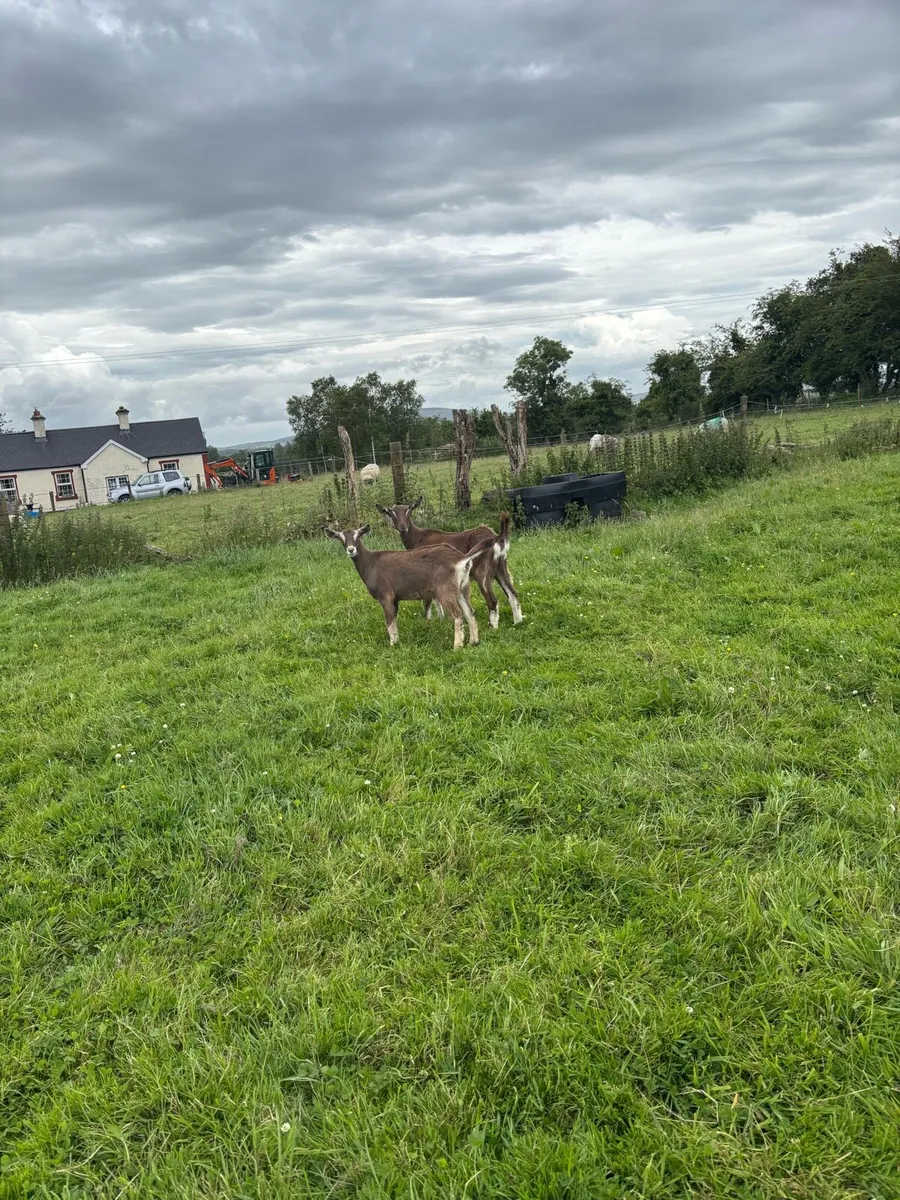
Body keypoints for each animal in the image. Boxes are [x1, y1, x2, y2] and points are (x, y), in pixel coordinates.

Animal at [324, 522, 495, 649]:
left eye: (358, 535)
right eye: (340, 537)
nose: (351, 550)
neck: (370, 563)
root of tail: (461, 558)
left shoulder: (385, 596)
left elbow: (389, 621)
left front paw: (392, 645)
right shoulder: (395, 599)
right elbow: (394, 620)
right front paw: (396, 641)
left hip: (445, 590)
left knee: (458, 615)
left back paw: (457, 646)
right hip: (462, 588)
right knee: (470, 612)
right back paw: (474, 642)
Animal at [375, 500, 523, 629]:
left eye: (409, 511)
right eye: (391, 513)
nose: (403, 527)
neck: (417, 539)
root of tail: (498, 537)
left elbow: (430, 601)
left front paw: (431, 622)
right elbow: (437, 599)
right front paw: (442, 620)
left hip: (482, 571)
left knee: (492, 600)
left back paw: (493, 627)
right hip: (501, 566)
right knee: (513, 593)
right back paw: (517, 622)